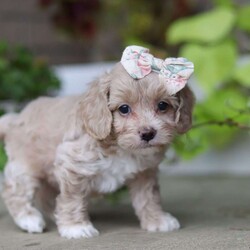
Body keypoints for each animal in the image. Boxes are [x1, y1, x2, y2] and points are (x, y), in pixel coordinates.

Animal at [0, 46, 194, 239]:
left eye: (162, 105)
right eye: (124, 109)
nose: (148, 133)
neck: (120, 148)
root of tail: (14, 119)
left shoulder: (144, 172)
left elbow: (149, 197)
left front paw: (157, 219)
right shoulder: (72, 165)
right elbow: (72, 198)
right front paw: (75, 227)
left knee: (46, 197)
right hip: (25, 168)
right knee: (14, 191)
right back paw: (29, 219)